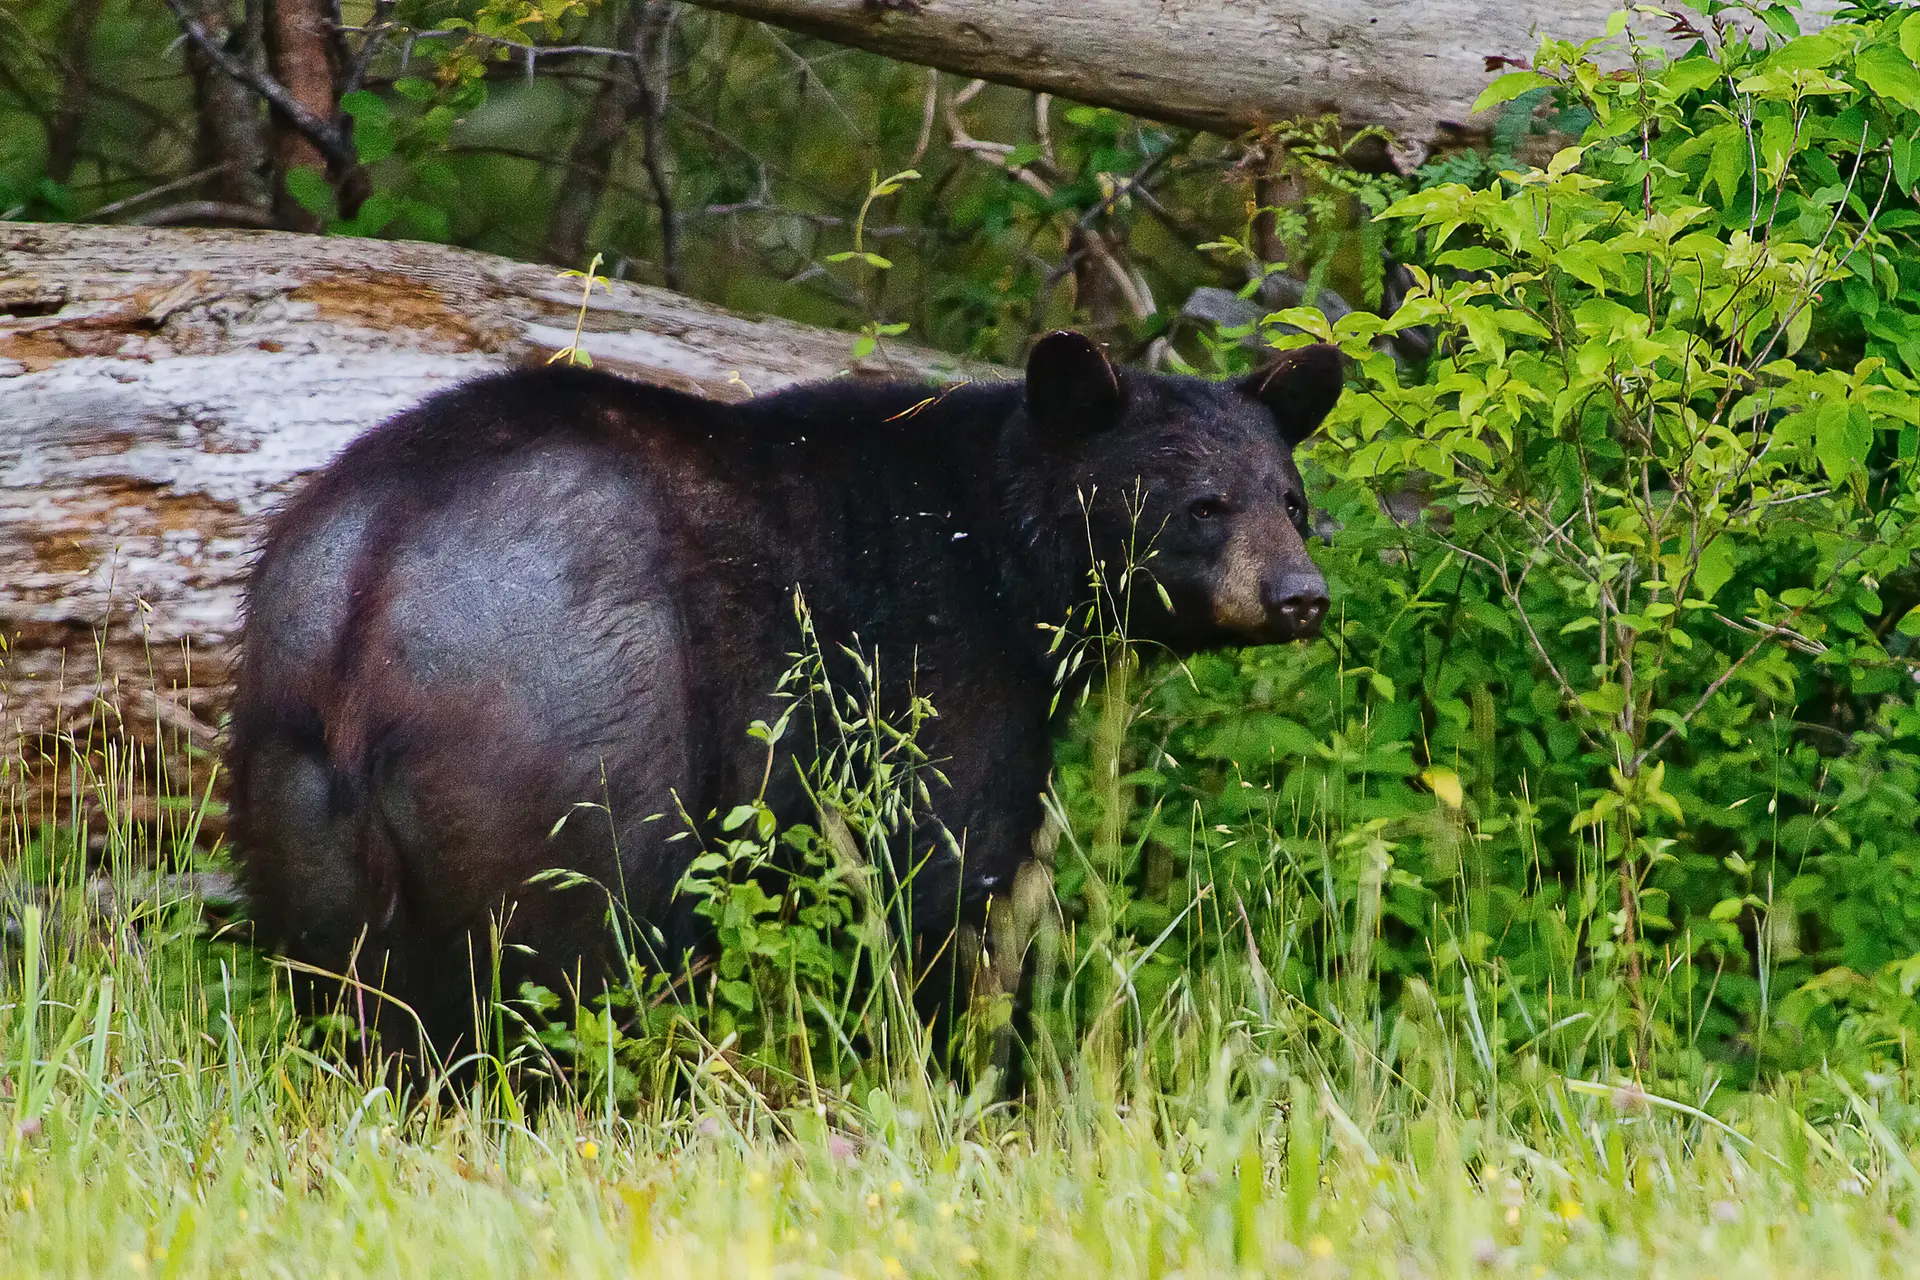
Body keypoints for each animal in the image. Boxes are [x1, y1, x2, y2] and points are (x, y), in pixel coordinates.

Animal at [227, 331, 1343, 1063]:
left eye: (1291, 500)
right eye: (1202, 504)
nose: (1301, 596)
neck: (1007, 558)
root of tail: (373, 591)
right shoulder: (936, 675)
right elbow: (951, 886)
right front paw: (985, 1077)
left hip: (291, 784)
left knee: (347, 984)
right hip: (563, 745)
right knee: (570, 955)